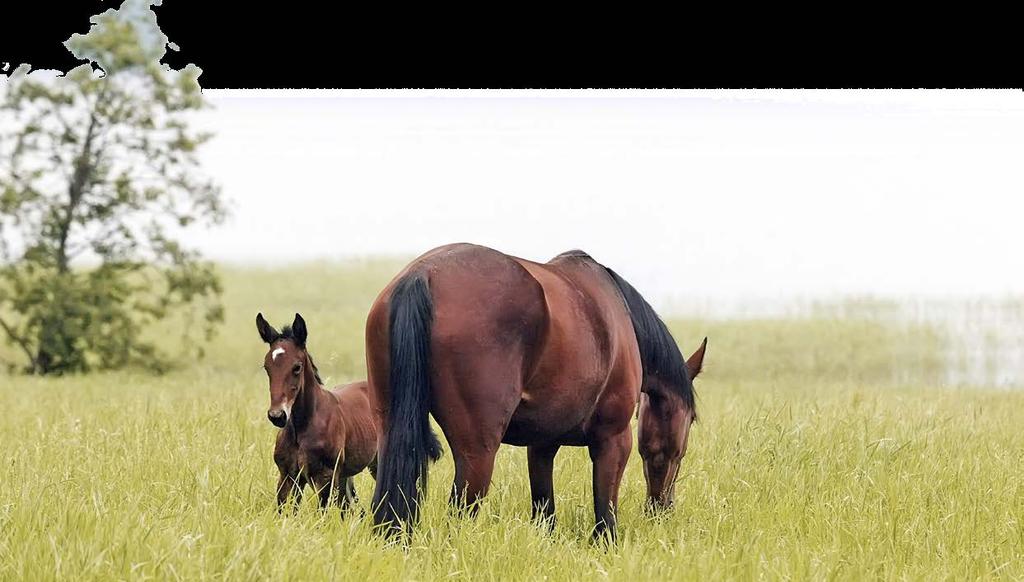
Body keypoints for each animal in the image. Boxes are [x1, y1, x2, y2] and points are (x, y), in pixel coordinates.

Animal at [256, 313, 380, 514]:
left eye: (297, 367)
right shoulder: (288, 477)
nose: (277, 416)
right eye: (267, 367)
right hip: (344, 475)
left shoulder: (325, 479)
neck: (302, 427)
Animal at [364, 242, 708, 536]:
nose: (662, 508)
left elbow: (545, 513)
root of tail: (422, 274)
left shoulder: (542, 446)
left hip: (390, 433)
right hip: (477, 451)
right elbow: (605, 516)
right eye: (691, 420)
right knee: (459, 516)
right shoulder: (613, 440)